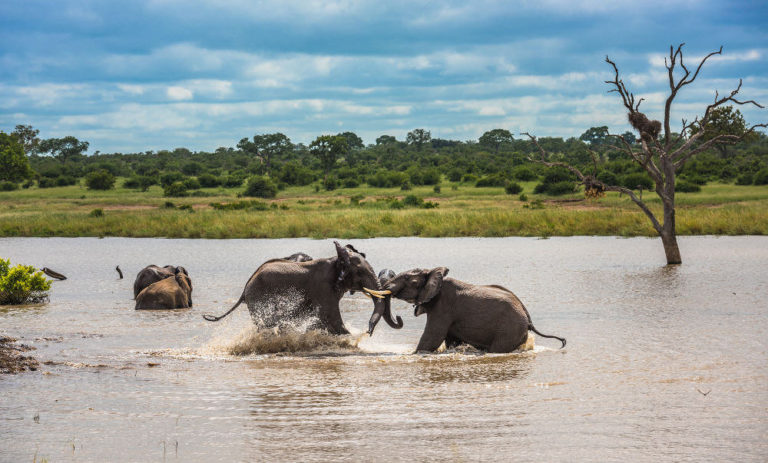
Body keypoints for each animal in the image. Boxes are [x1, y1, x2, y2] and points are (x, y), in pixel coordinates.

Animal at [203, 241, 403, 336]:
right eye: (360, 272)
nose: (367, 331)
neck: (336, 260)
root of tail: (245, 288)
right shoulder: (323, 289)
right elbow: (331, 319)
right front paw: (351, 337)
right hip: (258, 297)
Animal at [380, 267, 566, 353]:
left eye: (408, 279)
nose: (399, 317)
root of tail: (528, 318)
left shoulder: (443, 307)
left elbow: (431, 339)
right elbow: (451, 341)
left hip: (509, 329)